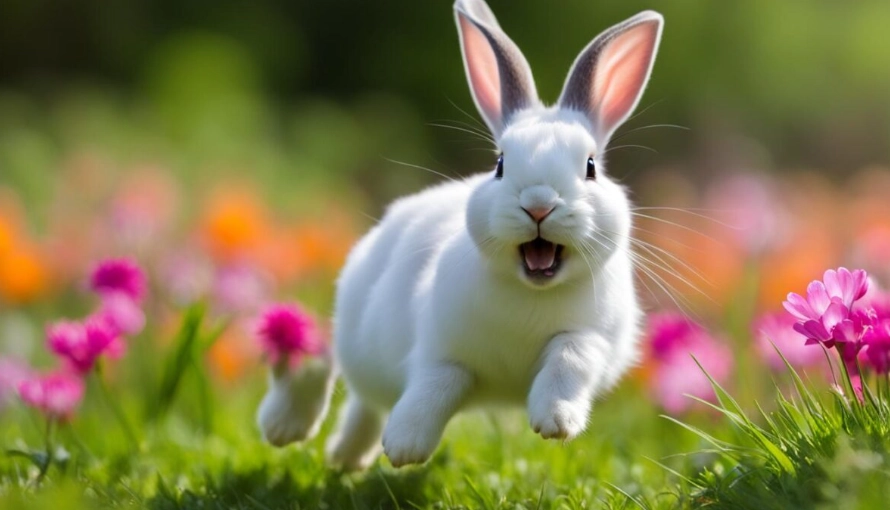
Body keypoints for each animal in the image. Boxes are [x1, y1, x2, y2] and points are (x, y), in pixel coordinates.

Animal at [257, 0, 664, 470]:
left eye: (591, 166)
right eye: (500, 164)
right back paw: (287, 425)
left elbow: (570, 359)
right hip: (358, 332)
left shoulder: (591, 339)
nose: (538, 204)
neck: (532, 294)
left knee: (363, 401)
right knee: (329, 363)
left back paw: (345, 457)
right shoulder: (440, 348)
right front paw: (405, 445)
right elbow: (440, 382)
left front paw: (556, 422)